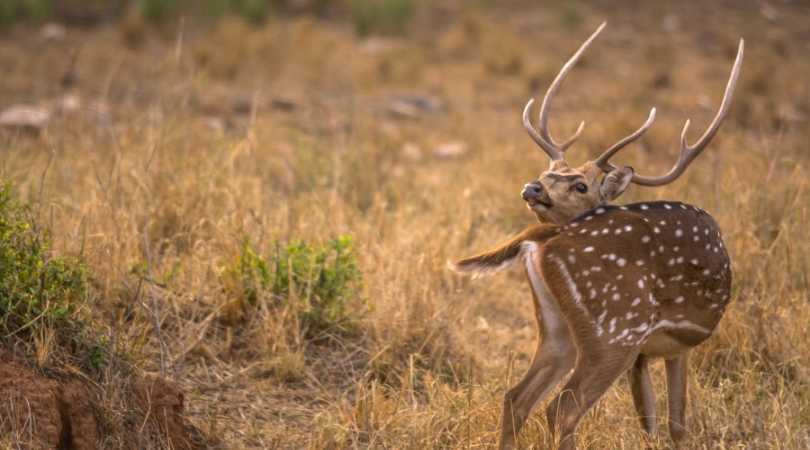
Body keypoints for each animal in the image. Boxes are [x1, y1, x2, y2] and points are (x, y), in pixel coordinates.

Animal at [452, 23, 740, 450]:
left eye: (580, 185)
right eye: (550, 173)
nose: (533, 187)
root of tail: (546, 237)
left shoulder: (650, 352)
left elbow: (654, 420)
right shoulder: (672, 343)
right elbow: (675, 423)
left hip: (559, 328)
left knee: (516, 397)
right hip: (615, 328)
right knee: (562, 408)